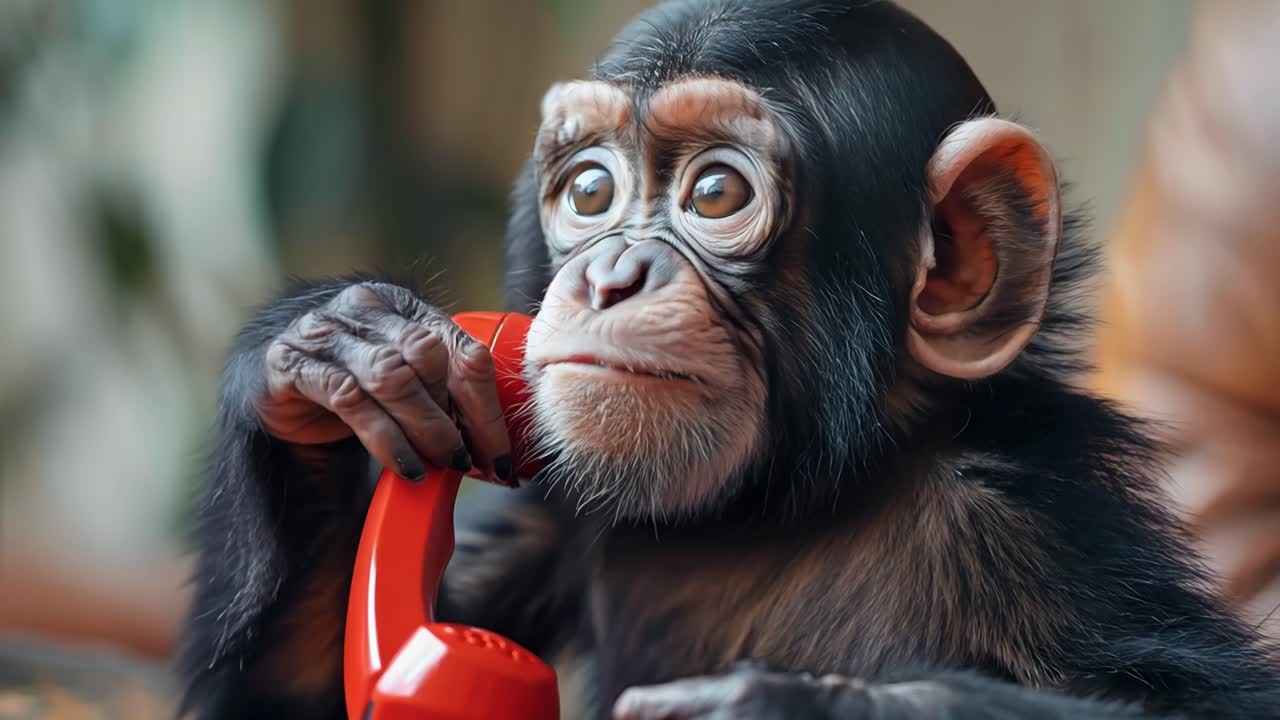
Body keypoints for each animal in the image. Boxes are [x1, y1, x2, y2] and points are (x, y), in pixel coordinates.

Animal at [175, 1, 1280, 718]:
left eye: (715, 195)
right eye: (589, 191)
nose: (611, 273)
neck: (778, 508)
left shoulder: (1036, 521)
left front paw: (791, 706)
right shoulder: (546, 503)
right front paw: (336, 348)